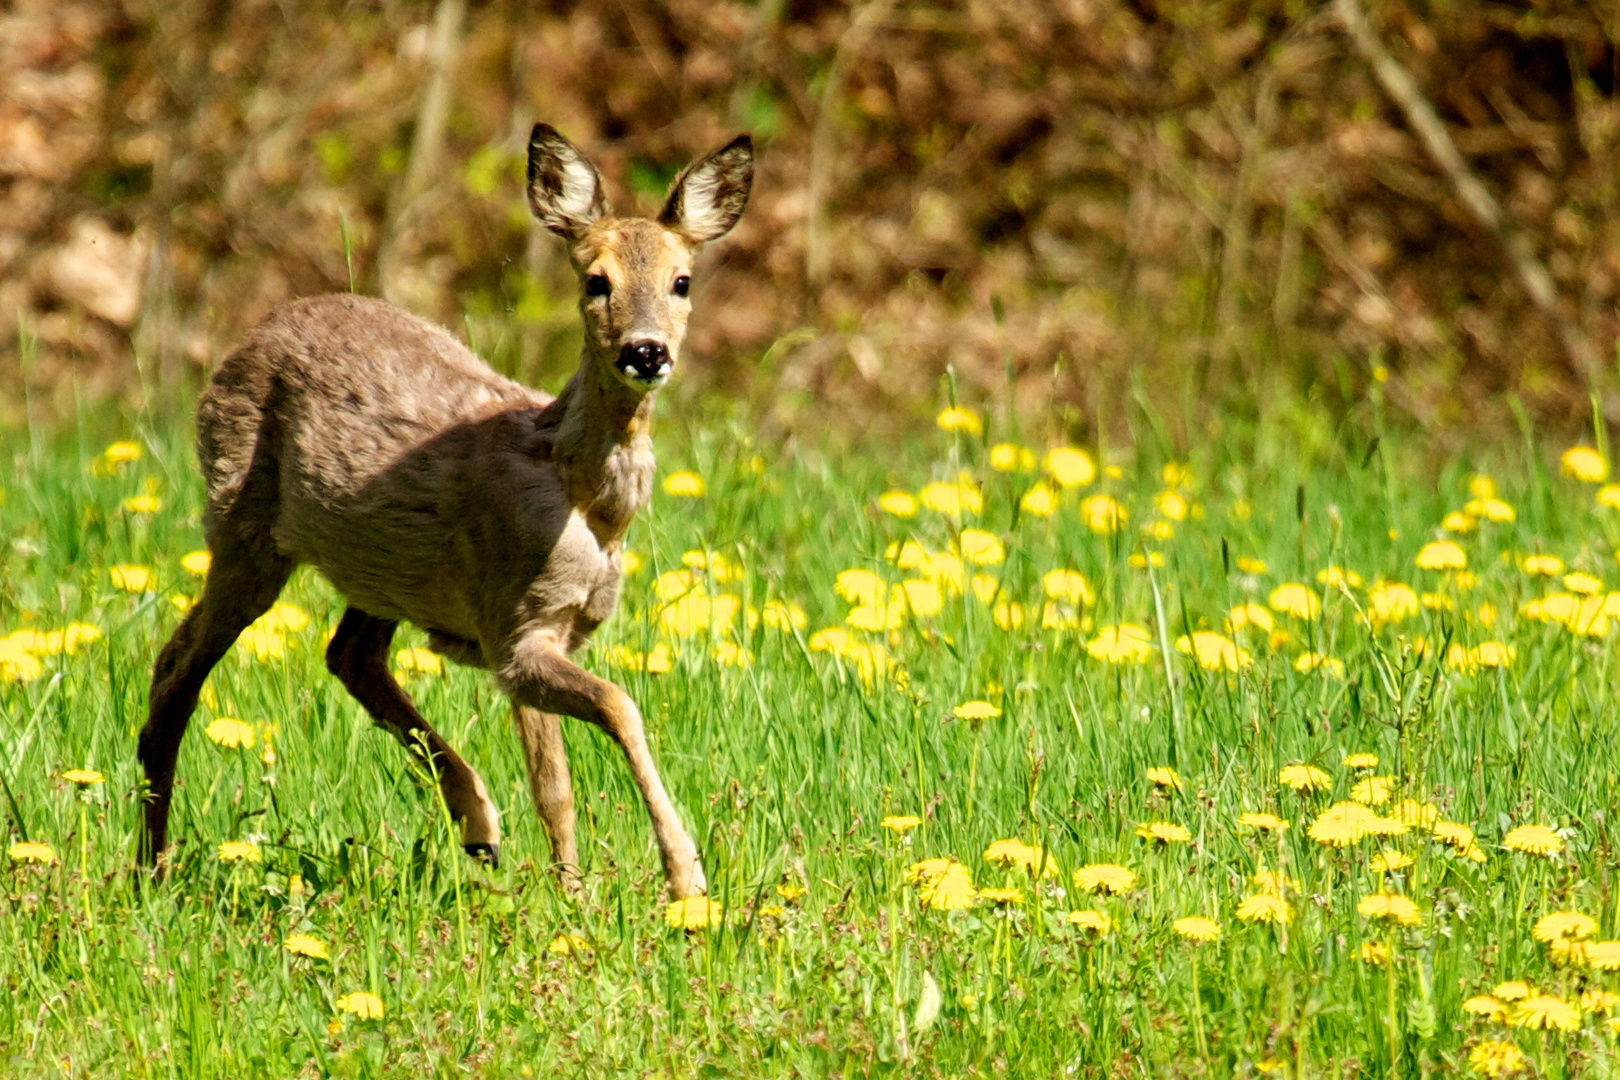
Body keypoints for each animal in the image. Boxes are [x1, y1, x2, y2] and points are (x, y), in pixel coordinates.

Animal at [136, 124, 754, 893]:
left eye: (682, 280)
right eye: (596, 280)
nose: (646, 351)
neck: (580, 494)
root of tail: (244, 342)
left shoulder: (543, 628)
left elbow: (555, 782)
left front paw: (578, 893)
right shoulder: (514, 625)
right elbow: (611, 719)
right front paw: (680, 878)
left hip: (377, 567)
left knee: (348, 655)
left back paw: (478, 824)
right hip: (242, 525)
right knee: (178, 668)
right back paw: (151, 868)